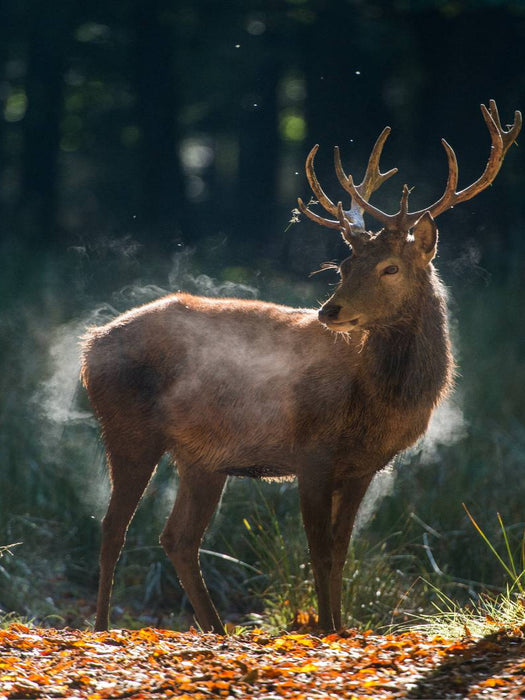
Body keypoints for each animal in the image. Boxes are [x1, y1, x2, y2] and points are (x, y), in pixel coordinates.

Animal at [81, 101, 521, 635]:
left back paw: (217, 630)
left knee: (178, 537)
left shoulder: (363, 466)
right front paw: (326, 630)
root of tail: (89, 344)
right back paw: (102, 627)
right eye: (343, 266)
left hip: (202, 457)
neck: (378, 399)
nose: (329, 311)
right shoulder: (312, 452)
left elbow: (342, 553)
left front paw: (340, 629)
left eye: (390, 267)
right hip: (128, 425)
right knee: (112, 528)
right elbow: (319, 552)